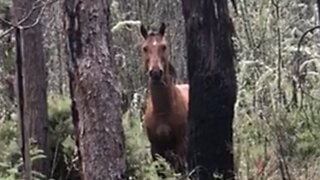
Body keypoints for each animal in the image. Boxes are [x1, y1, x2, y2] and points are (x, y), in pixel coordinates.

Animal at [139, 22, 189, 174]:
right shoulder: (155, 149)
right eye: (145, 48)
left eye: (164, 46)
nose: (155, 73)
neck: (162, 110)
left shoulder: (180, 145)